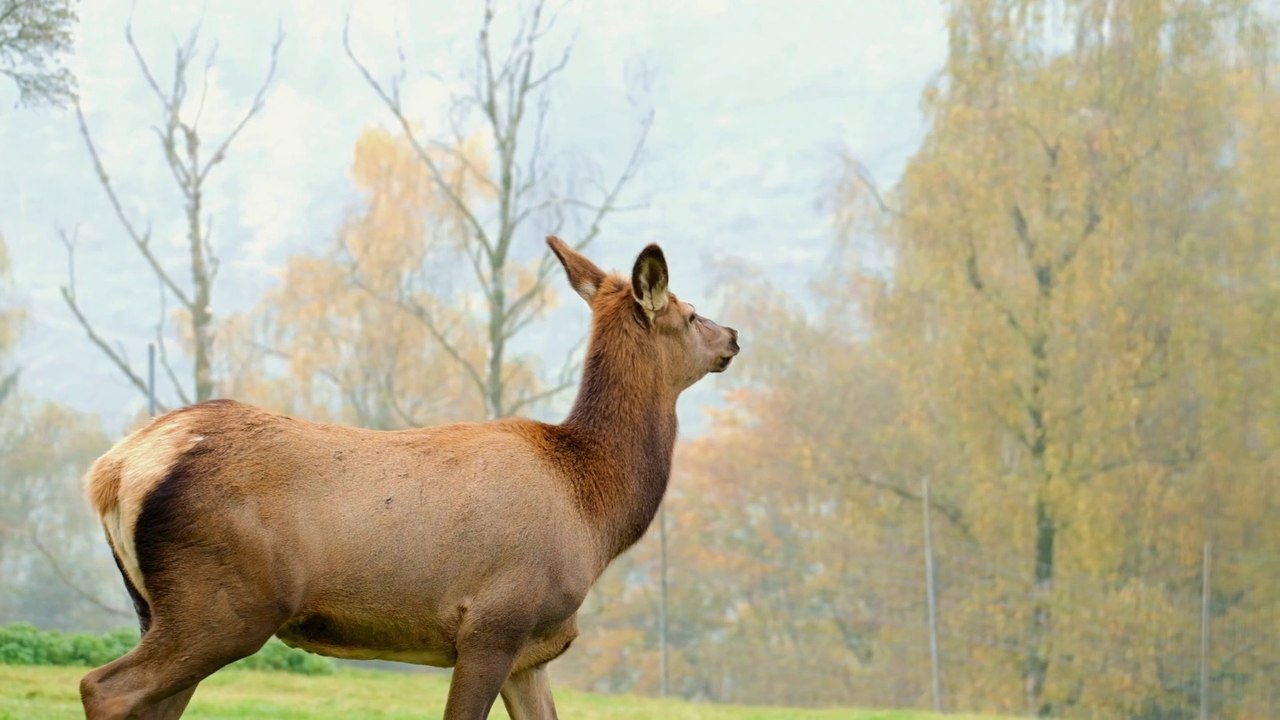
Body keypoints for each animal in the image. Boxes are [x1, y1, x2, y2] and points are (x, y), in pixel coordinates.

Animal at [77, 236, 740, 720]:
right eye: (690, 313)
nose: (733, 335)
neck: (594, 509)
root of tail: (114, 470)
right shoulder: (494, 622)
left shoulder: (534, 649)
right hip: (225, 602)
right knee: (102, 687)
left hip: (160, 605)